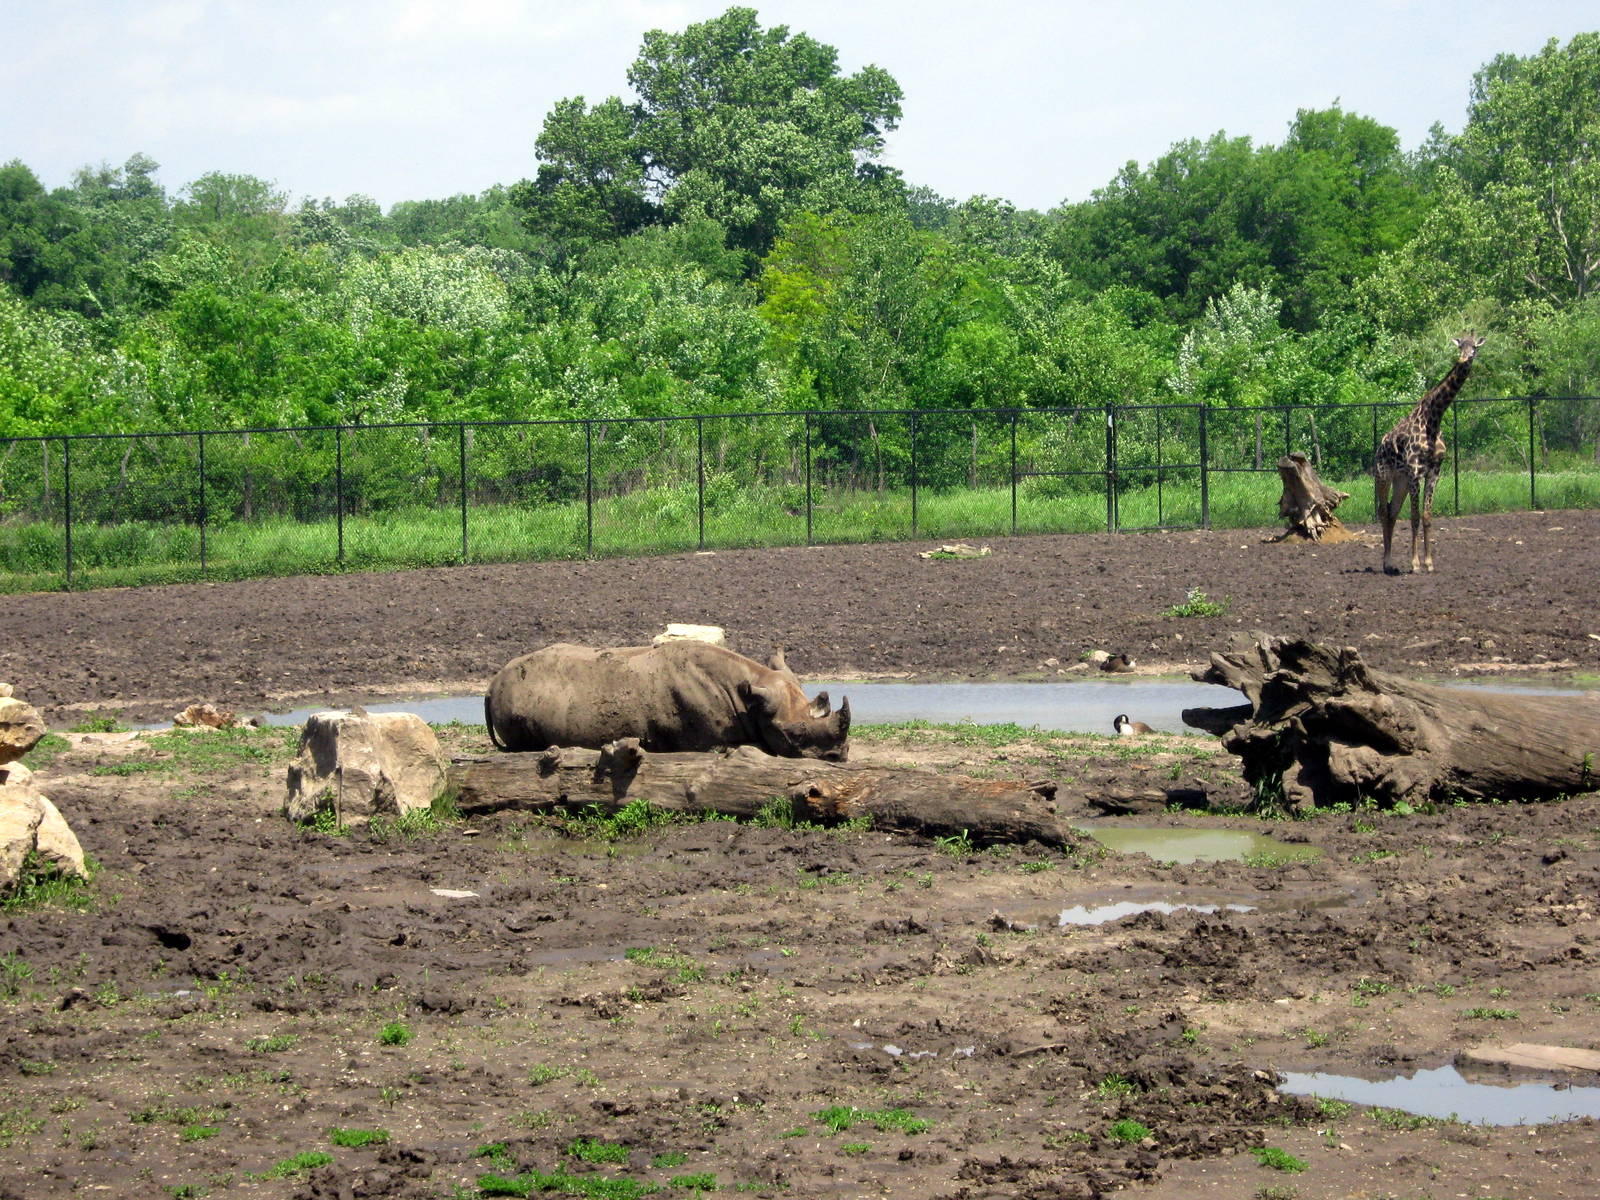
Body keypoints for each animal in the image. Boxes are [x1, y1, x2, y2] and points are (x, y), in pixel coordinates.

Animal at [1374, 332, 1485, 574]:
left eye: (1474, 348)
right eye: (1460, 346)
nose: (1464, 359)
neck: (1433, 420)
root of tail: (1379, 446)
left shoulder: (1434, 471)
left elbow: (1426, 516)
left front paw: (1429, 563)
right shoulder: (1415, 471)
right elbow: (1414, 517)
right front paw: (1415, 564)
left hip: (1401, 481)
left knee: (1392, 511)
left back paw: (1391, 564)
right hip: (1384, 476)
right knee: (1384, 512)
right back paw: (1386, 563)